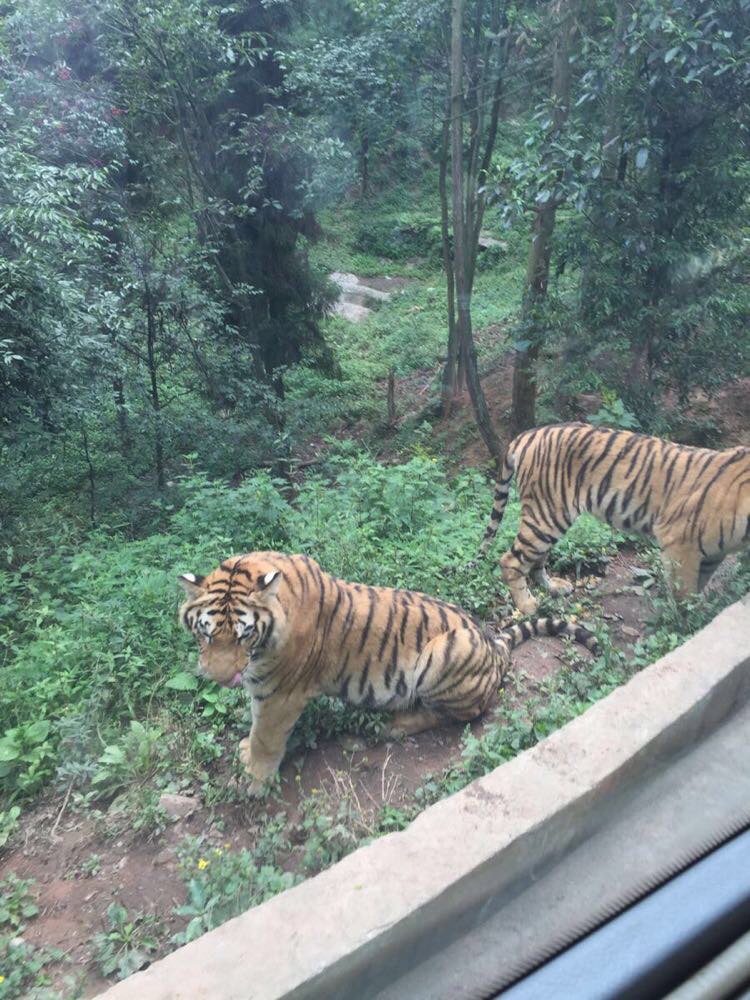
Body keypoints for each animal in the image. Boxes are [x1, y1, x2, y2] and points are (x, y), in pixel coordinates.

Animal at [179, 552, 604, 792]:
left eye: (244, 634)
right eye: (206, 632)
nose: (219, 678)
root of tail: (493, 645)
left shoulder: (280, 694)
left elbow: (267, 738)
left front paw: (254, 783)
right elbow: (255, 731)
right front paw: (246, 754)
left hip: (442, 655)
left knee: (453, 715)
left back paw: (393, 725)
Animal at [478, 424, 748, 616]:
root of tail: (529, 434)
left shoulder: (712, 554)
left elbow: (698, 588)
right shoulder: (679, 544)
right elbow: (685, 594)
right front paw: (685, 625)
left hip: (548, 519)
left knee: (534, 560)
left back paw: (554, 587)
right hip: (546, 516)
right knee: (511, 560)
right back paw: (527, 606)